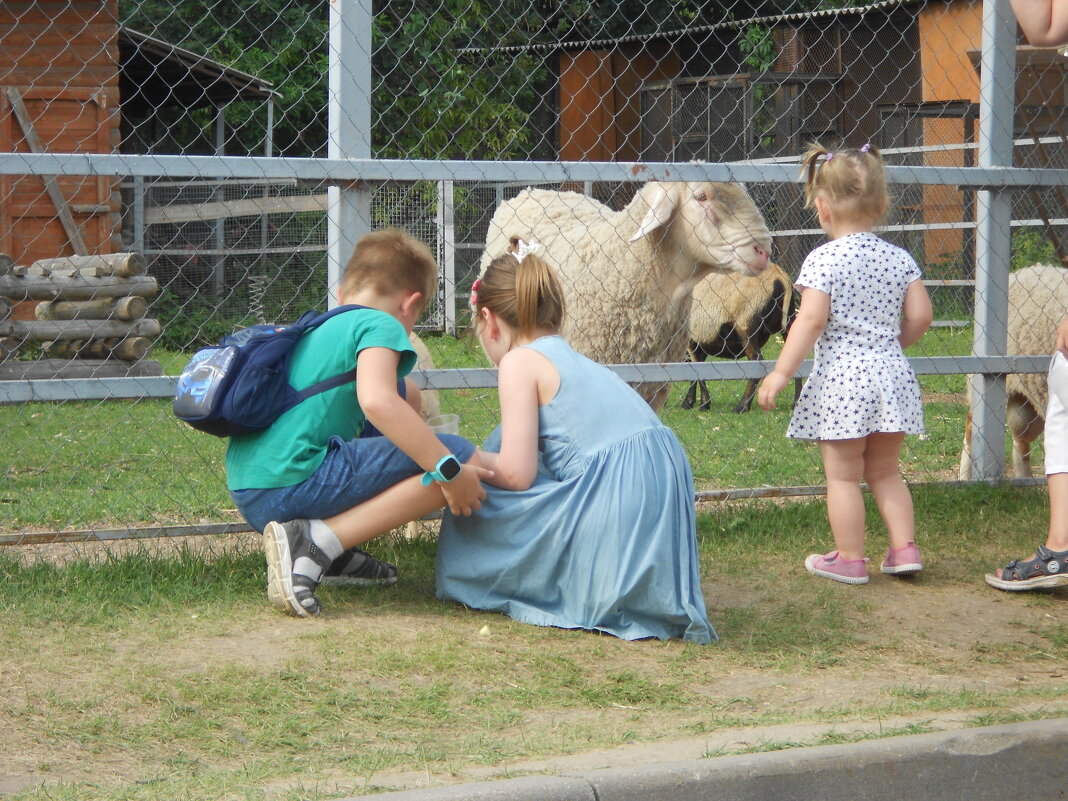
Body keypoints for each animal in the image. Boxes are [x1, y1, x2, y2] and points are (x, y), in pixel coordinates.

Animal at [683, 261, 794, 414]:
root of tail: (780, 278)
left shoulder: (691, 339)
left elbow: (697, 369)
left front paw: (703, 404)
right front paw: (690, 402)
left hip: (746, 327)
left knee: (757, 362)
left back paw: (742, 407)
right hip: (790, 321)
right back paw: (795, 403)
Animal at [961, 263, 1068, 480]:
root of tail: (1025, 271)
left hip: (1030, 402)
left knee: (1021, 440)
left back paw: (1024, 478)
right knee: (971, 428)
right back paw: (964, 477)